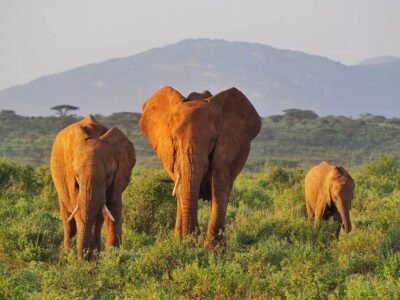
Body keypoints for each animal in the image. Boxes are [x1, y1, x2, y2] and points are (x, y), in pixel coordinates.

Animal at [50, 115, 135, 258]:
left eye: (109, 176)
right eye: (76, 175)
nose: (81, 258)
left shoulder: (119, 177)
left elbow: (113, 209)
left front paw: (112, 258)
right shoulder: (71, 179)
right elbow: (79, 210)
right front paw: (86, 259)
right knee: (69, 223)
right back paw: (68, 255)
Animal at [139, 86, 260, 246]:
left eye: (212, 140)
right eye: (175, 139)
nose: (193, 238)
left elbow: (219, 185)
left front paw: (213, 249)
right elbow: (182, 188)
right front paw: (185, 244)